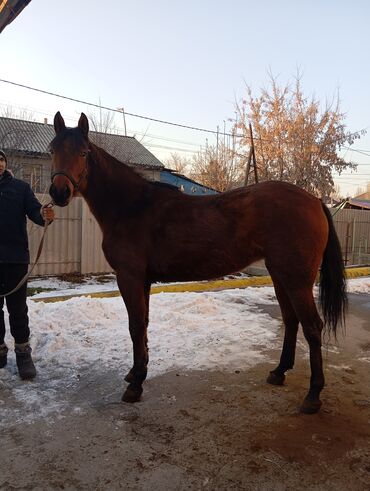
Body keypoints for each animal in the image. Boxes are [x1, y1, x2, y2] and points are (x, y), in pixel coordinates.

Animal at [49, 112, 346, 416]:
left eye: (83, 153)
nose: (59, 192)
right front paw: (136, 372)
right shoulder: (142, 280)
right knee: (291, 320)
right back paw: (279, 372)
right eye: (52, 150)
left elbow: (135, 325)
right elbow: (143, 324)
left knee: (312, 326)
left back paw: (313, 395)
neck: (131, 207)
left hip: (297, 279)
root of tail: (314, 200)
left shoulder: (129, 277)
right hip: (280, 275)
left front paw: (136, 386)